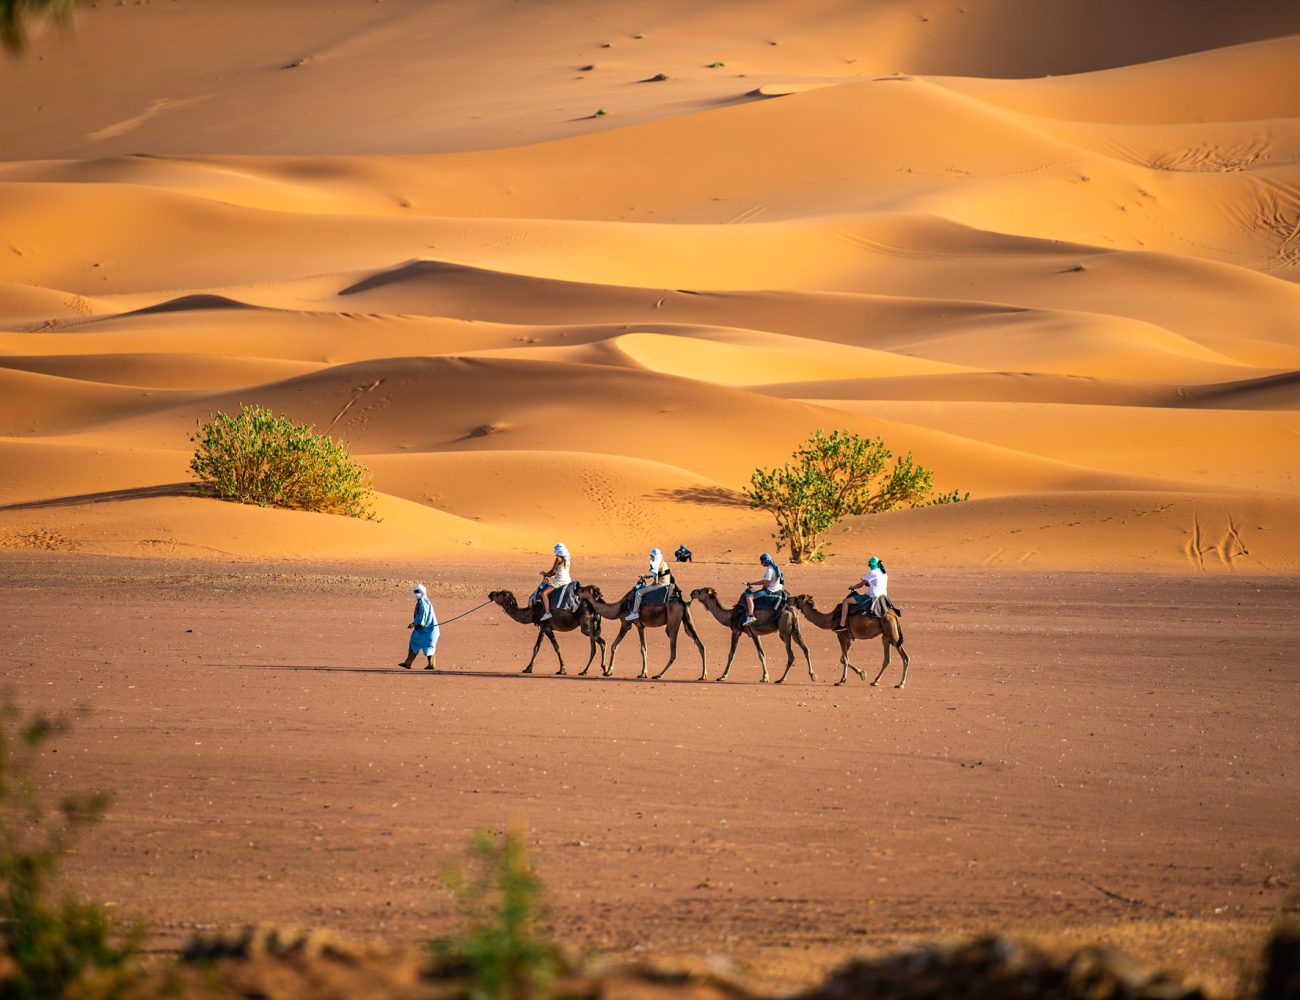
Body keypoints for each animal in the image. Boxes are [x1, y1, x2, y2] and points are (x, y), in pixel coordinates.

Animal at [575, 584, 707, 680]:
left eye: (584, 589)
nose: (576, 589)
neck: (618, 608)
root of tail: (681, 601)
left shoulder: (626, 624)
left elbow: (615, 645)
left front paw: (609, 671)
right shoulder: (641, 626)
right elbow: (644, 648)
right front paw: (643, 672)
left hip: (672, 623)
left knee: (674, 651)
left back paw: (659, 675)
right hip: (686, 620)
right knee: (700, 644)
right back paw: (703, 675)